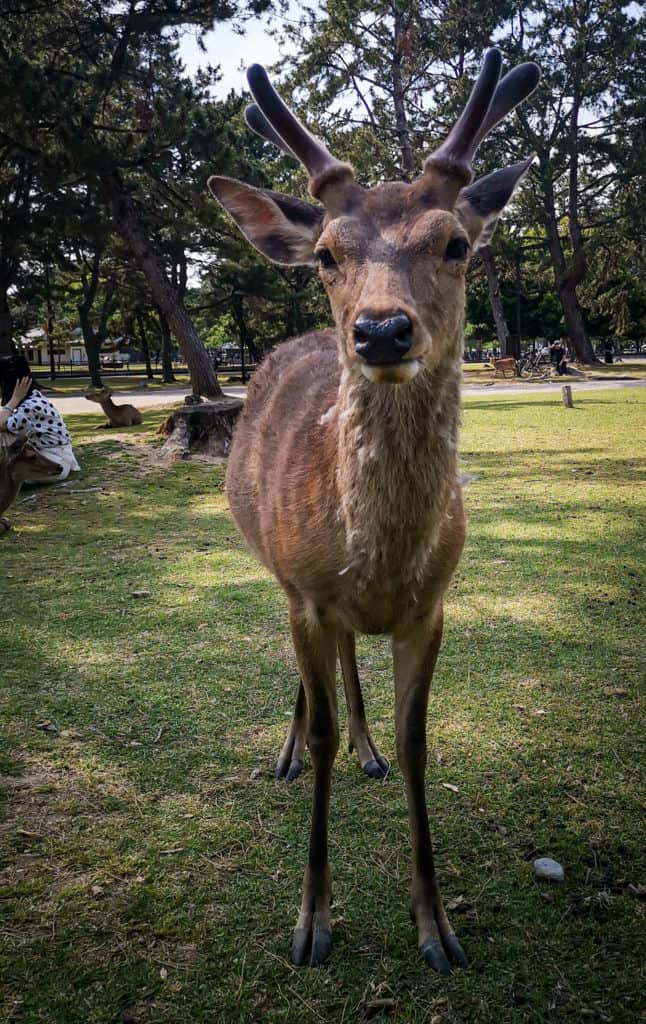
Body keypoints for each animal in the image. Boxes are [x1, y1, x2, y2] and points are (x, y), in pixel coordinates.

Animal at [206, 49, 540, 974]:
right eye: (327, 254)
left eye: (455, 243)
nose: (382, 331)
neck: (384, 558)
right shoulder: (308, 594)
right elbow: (318, 721)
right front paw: (312, 922)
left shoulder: (431, 608)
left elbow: (420, 738)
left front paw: (437, 928)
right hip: (278, 573)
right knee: (309, 677)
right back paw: (292, 753)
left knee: (352, 663)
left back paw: (368, 751)